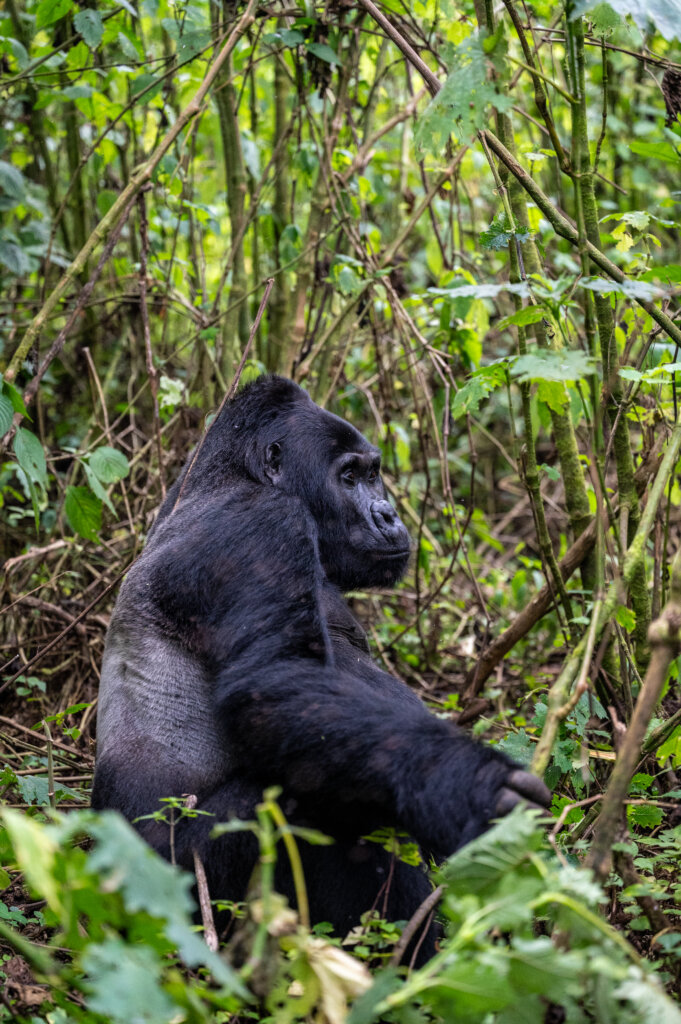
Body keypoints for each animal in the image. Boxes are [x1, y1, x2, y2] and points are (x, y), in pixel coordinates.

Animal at [90, 376, 548, 958]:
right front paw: (470, 785)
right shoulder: (259, 524)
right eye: (349, 476)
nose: (388, 514)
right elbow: (275, 682)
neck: (231, 474)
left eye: (374, 473)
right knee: (311, 804)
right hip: (170, 888)